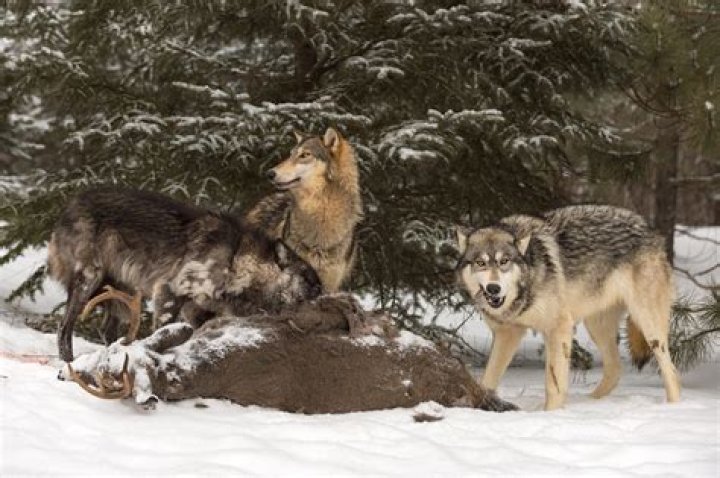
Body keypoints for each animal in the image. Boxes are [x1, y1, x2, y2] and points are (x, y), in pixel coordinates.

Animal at [48, 187, 322, 362]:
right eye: (309, 281)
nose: (324, 297)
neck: (236, 258)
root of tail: (69, 207)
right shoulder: (170, 293)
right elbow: (162, 334)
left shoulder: (197, 311)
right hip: (88, 282)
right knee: (63, 328)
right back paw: (68, 363)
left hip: (121, 293)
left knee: (107, 331)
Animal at [455, 205, 681, 410]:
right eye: (480, 263)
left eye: (504, 261)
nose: (494, 288)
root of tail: (651, 230)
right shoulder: (508, 333)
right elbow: (488, 379)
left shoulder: (559, 328)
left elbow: (553, 384)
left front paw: (551, 414)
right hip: (597, 327)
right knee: (615, 369)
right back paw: (589, 403)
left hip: (649, 326)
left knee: (670, 369)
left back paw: (672, 406)